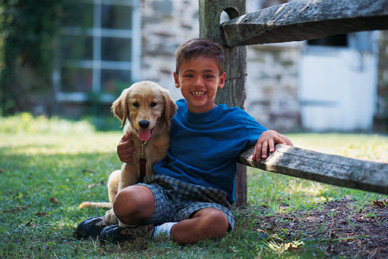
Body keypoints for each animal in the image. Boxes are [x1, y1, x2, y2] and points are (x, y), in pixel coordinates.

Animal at [80, 81, 177, 225]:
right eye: (135, 104)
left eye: (153, 104)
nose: (144, 123)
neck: (145, 143)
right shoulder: (128, 166)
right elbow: (124, 188)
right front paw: (115, 214)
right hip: (114, 176)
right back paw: (111, 212)